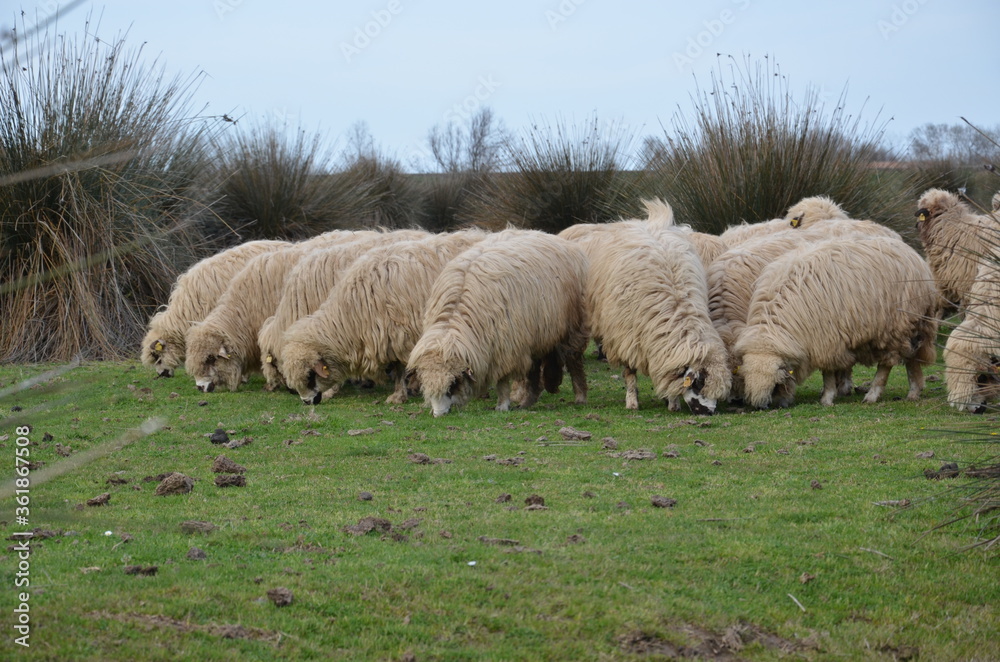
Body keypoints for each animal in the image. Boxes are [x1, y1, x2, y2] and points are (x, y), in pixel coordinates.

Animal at [281, 230, 490, 405]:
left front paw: (398, 396)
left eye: (310, 375)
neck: (350, 315)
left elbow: (399, 370)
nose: (307, 402)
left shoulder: (400, 336)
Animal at [406, 230, 590, 416]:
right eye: (425, 384)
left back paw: (580, 397)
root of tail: (553, 237)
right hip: (536, 334)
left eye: (453, 384)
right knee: (534, 369)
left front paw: (502, 405)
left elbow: (502, 380)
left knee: (573, 360)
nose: (439, 414)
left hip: (573, 327)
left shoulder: (505, 348)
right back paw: (527, 402)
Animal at [577, 223, 730, 413]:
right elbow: (630, 373)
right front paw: (632, 402)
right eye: (699, 383)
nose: (708, 412)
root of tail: (651, 225)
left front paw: (672, 402)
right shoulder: (627, 339)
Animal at [734, 236, 940, 408]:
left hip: (895, 328)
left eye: (776, 383)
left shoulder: (827, 341)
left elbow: (827, 373)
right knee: (912, 357)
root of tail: (913, 254)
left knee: (887, 364)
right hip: (913, 327)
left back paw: (873, 395)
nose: (761, 407)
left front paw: (827, 398)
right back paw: (914, 392)